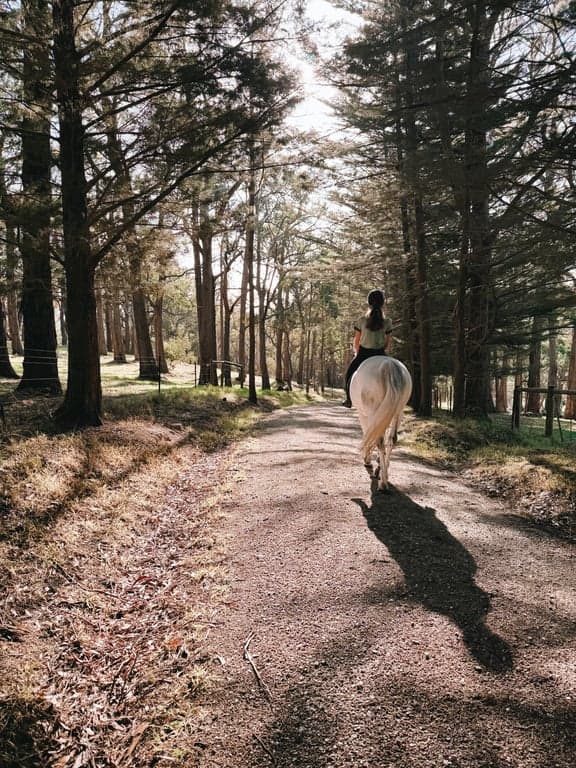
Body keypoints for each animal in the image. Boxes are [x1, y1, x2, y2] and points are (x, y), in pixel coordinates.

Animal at [349, 355, 412, 491]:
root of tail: (390, 365)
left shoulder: (363, 414)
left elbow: (367, 435)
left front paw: (367, 458)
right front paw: (379, 463)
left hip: (373, 409)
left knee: (379, 440)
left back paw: (383, 483)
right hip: (398, 411)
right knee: (392, 438)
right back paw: (385, 474)